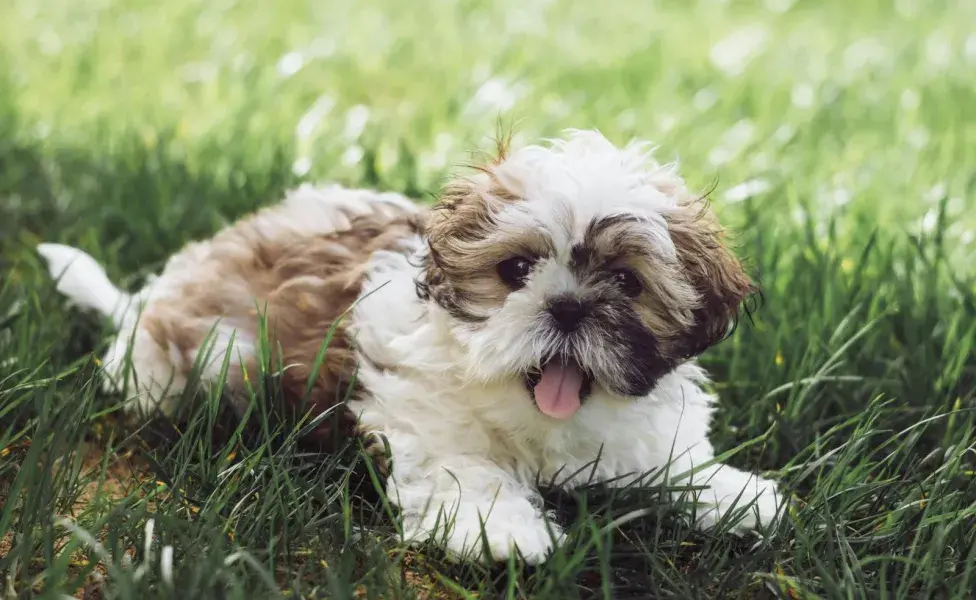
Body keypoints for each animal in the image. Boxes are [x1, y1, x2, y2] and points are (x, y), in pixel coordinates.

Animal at [42, 130, 780, 564]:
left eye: (627, 282)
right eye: (516, 270)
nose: (568, 307)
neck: (540, 418)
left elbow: (665, 459)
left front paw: (730, 493)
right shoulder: (425, 419)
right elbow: (465, 470)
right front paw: (503, 530)